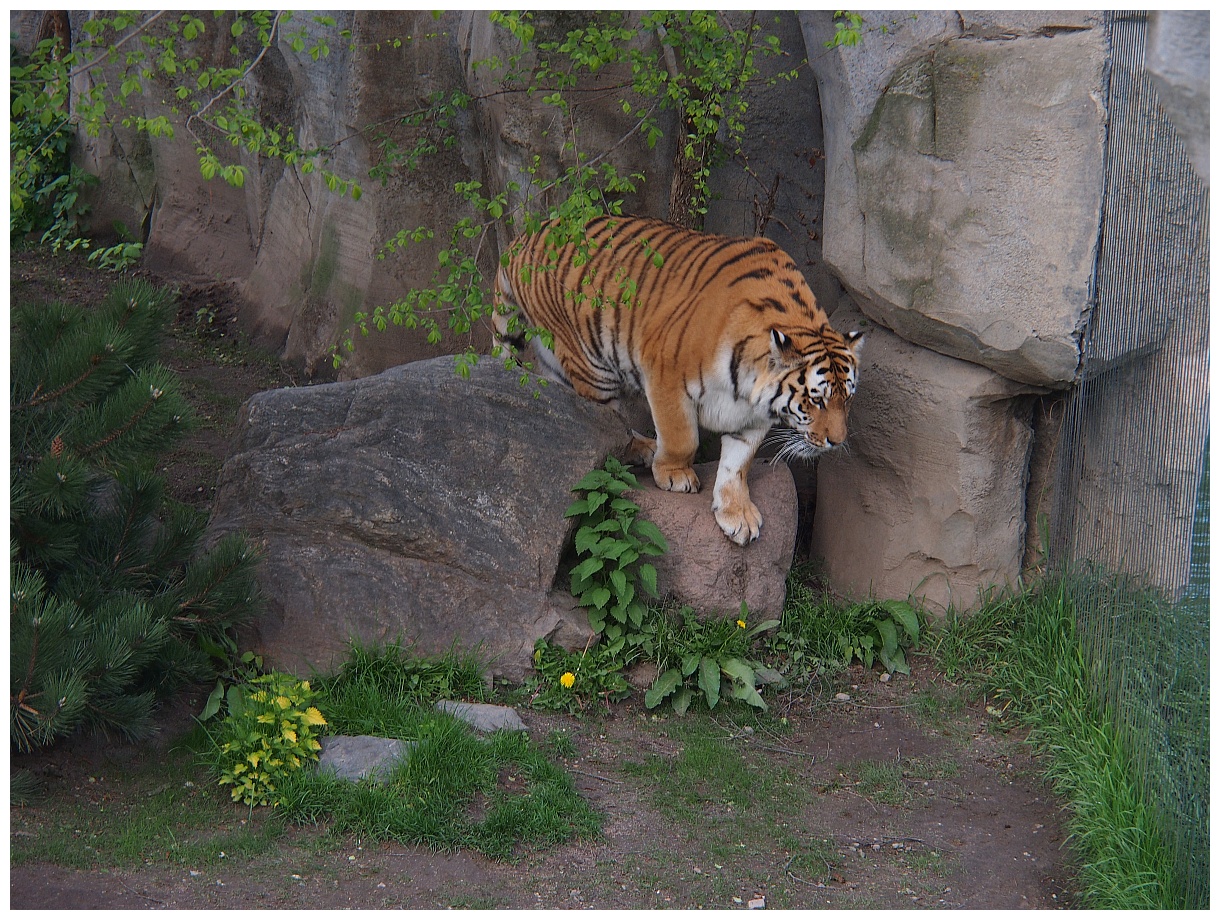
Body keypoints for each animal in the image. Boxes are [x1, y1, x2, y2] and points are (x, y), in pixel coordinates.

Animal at [490, 213, 863, 544]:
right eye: (816, 400)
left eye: (847, 400)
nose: (837, 441)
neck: (748, 385)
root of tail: (522, 239)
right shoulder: (666, 375)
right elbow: (682, 437)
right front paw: (675, 474)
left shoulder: (754, 414)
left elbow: (738, 463)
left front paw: (736, 513)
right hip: (591, 362)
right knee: (605, 424)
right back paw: (641, 448)